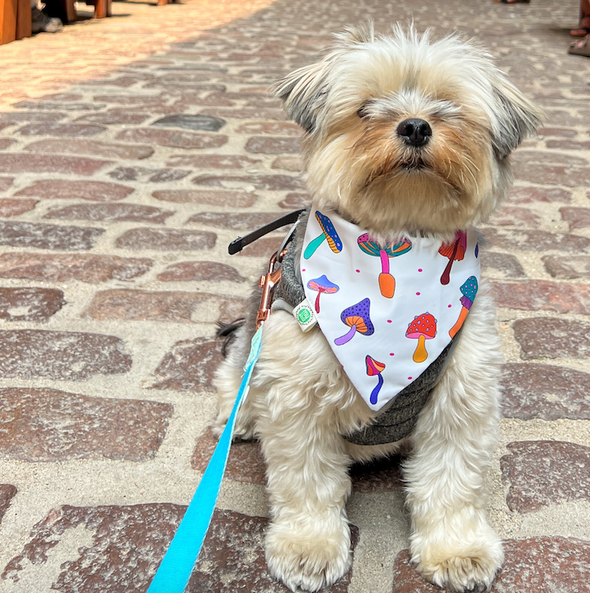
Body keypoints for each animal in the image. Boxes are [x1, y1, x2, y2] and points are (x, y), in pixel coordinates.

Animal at [215, 24, 544, 592]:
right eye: (367, 108)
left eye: (448, 107)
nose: (414, 125)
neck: (398, 239)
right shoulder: (296, 396)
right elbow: (306, 482)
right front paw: (309, 547)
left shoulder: (461, 396)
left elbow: (452, 480)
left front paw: (456, 549)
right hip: (251, 344)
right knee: (234, 375)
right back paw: (236, 416)